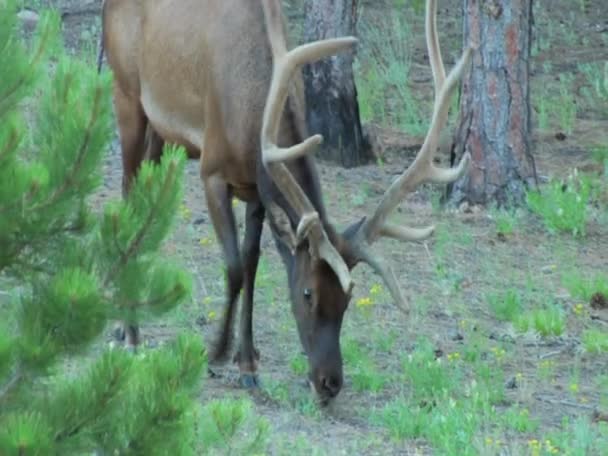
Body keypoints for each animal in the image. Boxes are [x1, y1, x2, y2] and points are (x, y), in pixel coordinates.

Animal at [100, 0, 470, 402]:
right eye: (308, 293)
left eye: (347, 300)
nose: (330, 382)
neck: (253, 118)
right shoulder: (213, 171)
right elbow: (233, 267)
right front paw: (217, 350)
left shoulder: (257, 189)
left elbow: (251, 265)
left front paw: (248, 363)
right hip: (126, 93)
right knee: (127, 199)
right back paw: (130, 332)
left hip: (161, 129)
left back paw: (124, 322)